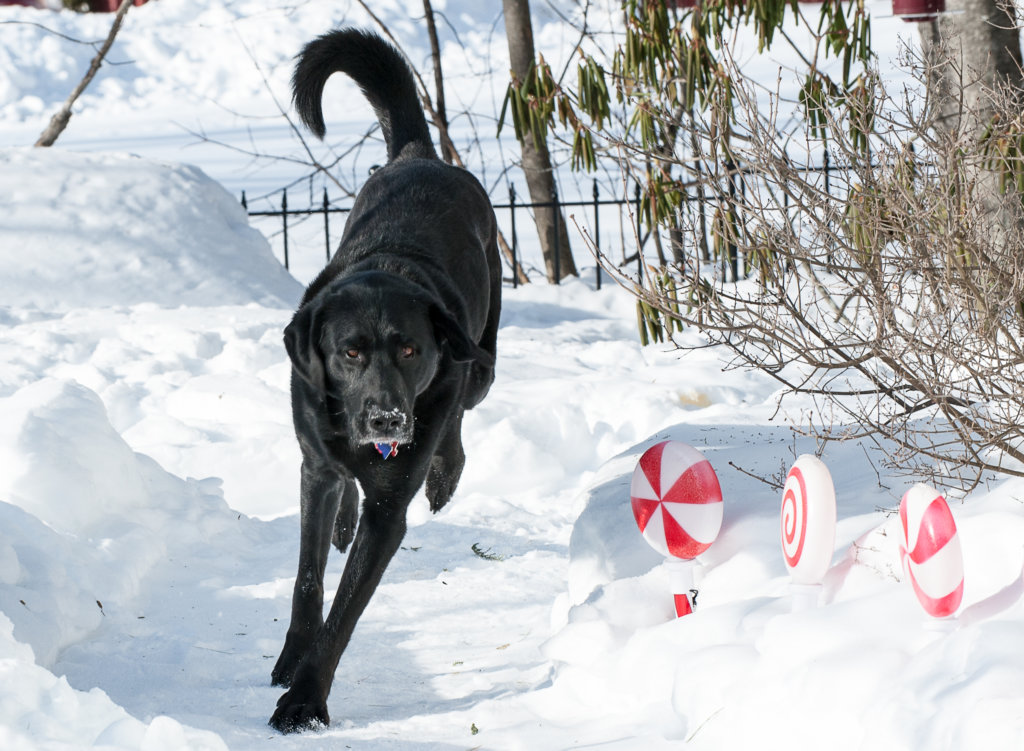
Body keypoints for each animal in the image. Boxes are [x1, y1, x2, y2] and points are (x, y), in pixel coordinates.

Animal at [268, 28, 501, 733]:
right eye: (348, 352)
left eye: (408, 349)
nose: (386, 420)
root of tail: (421, 155)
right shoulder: (314, 460)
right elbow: (310, 578)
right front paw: (291, 659)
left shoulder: (390, 508)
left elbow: (345, 611)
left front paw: (306, 699)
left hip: (480, 357)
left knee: (462, 411)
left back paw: (444, 475)